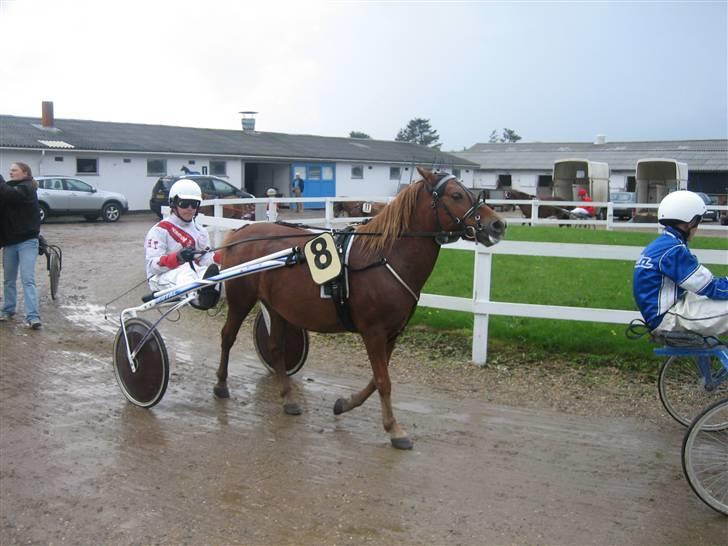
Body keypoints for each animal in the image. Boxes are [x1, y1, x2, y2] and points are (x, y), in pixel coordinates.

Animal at [213, 168, 504, 448]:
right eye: (456, 195)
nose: (498, 224)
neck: (386, 256)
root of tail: (240, 232)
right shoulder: (373, 331)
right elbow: (384, 381)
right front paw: (394, 430)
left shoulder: (392, 333)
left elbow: (377, 379)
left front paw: (345, 404)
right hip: (241, 299)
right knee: (227, 336)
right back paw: (221, 384)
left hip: (277, 307)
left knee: (275, 348)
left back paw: (287, 398)